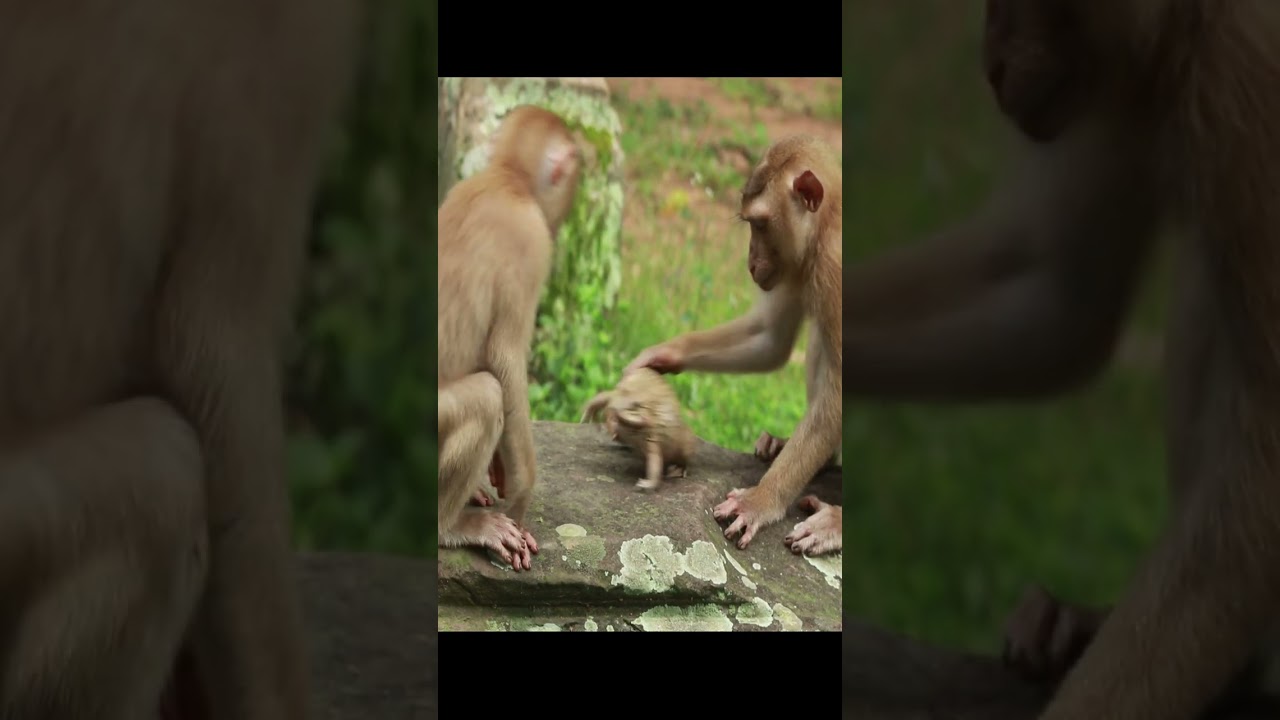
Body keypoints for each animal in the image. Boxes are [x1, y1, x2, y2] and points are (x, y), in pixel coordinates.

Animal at [437, 105, 581, 572]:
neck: (507, 176)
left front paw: (499, 470)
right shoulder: (532, 243)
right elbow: (505, 359)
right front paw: (521, 491)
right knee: (487, 396)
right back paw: (452, 526)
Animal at [624, 134, 843, 557]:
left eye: (760, 224)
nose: (751, 262)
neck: (828, 223)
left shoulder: (834, 267)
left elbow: (840, 391)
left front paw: (761, 499)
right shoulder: (797, 263)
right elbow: (770, 337)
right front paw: (659, 357)